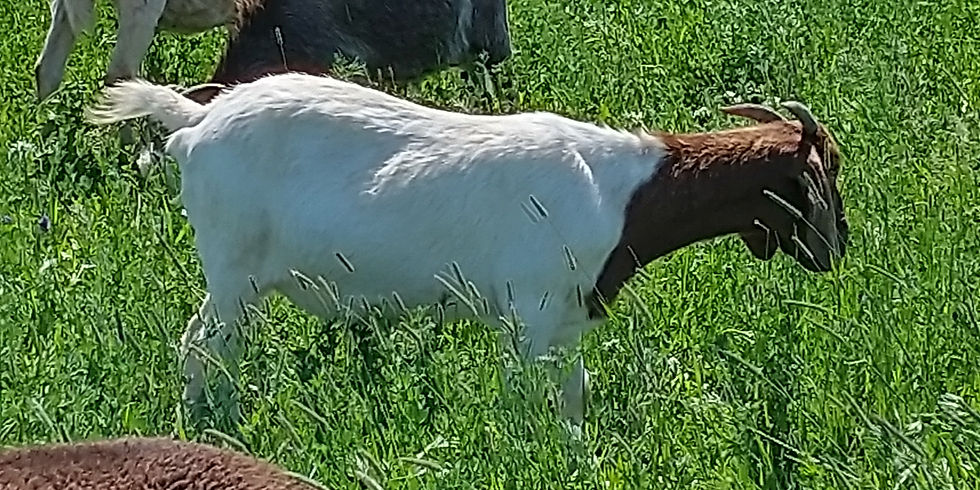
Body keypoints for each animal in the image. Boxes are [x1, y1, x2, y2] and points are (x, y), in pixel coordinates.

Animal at [86, 73, 848, 427]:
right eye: (829, 171)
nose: (837, 253)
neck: (625, 194)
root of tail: (196, 119)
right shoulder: (529, 314)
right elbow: (525, 398)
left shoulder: (566, 317)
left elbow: (573, 399)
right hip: (234, 269)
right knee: (203, 345)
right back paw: (214, 420)